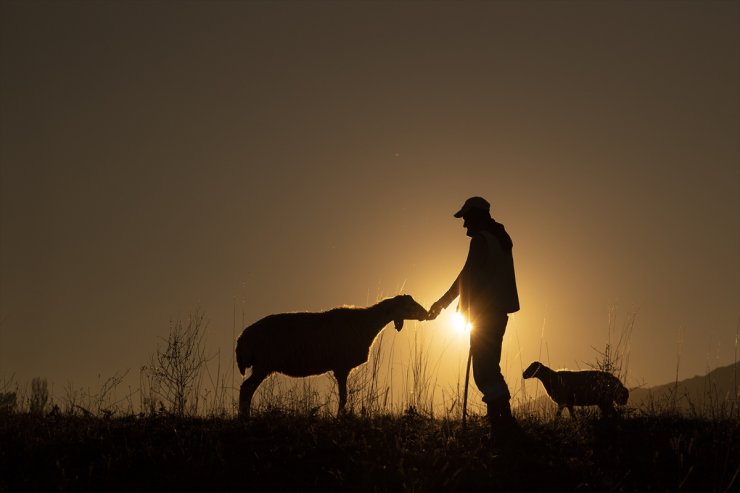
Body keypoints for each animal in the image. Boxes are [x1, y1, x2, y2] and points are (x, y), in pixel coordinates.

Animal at [237, 294, 428, 418]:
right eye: (408, 305)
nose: (426, 314)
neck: (367, 323)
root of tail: (243, 337)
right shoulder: (341, 367)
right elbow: (344, 397)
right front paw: (339, 418)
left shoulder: (341, 367)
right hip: (263, 364)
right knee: (246, 388)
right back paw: (244, 418)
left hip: (262, 366)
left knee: (248, 389)